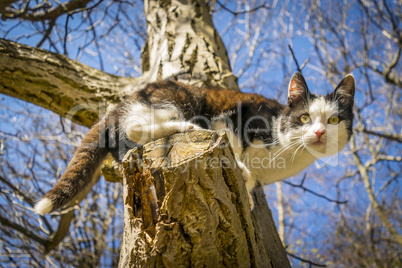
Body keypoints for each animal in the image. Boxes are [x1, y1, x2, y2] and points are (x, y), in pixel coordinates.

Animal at [34, 72, 354, 215]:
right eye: (304, 117)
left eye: (333, 120)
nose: (319, 133)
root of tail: (117, 106)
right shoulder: (235, 117)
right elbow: (234, 144)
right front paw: (243, 173)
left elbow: (252, 178)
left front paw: (248, 189)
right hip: (175, 102)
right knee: (137, 129)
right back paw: (189, 126)